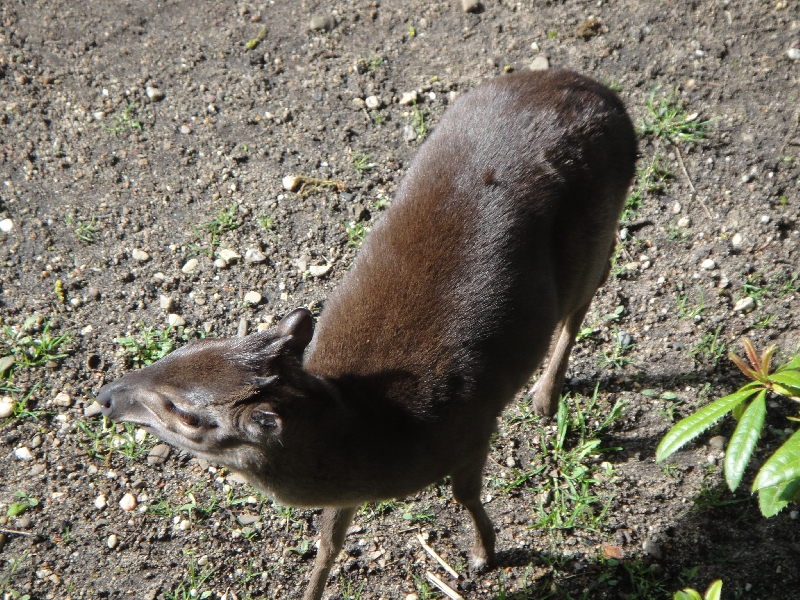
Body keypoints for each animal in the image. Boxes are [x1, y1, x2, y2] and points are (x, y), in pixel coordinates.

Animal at [98, 70, 636, 600]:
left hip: (594, 229)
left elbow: (465, 495)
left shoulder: (472, 428)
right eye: (188, 345)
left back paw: (545, 397)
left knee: (591, 288)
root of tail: (609, 99)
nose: (106, 395)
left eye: (185, 414)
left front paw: (485, 553)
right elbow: (329, 542)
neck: (378, 430)